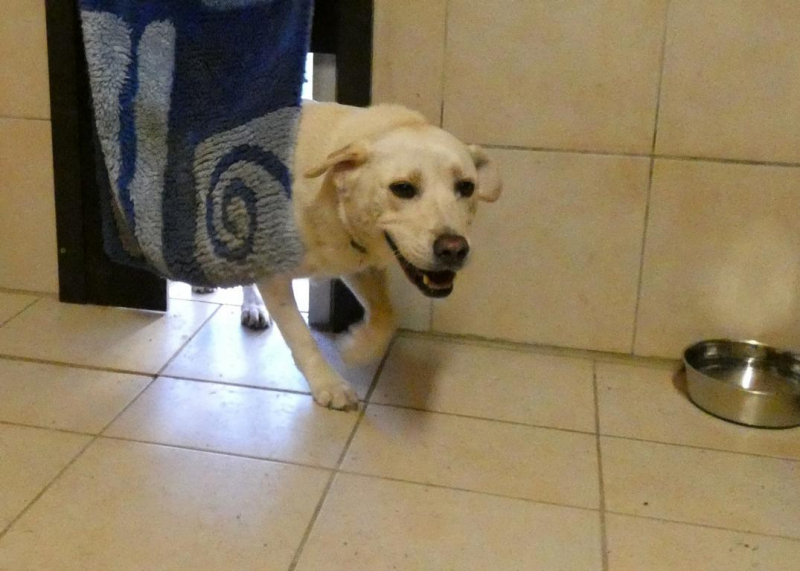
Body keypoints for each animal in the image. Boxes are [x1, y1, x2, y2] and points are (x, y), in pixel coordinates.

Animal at [199, 101, 502, 409]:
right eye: (403, 188)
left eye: (466, 187)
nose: (454, 249)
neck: (333, 197)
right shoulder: (274, 275)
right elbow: (301, 335)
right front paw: (329, 384)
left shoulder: (360, 265)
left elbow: (386, 316)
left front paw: (358, 346)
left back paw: (251, 306)